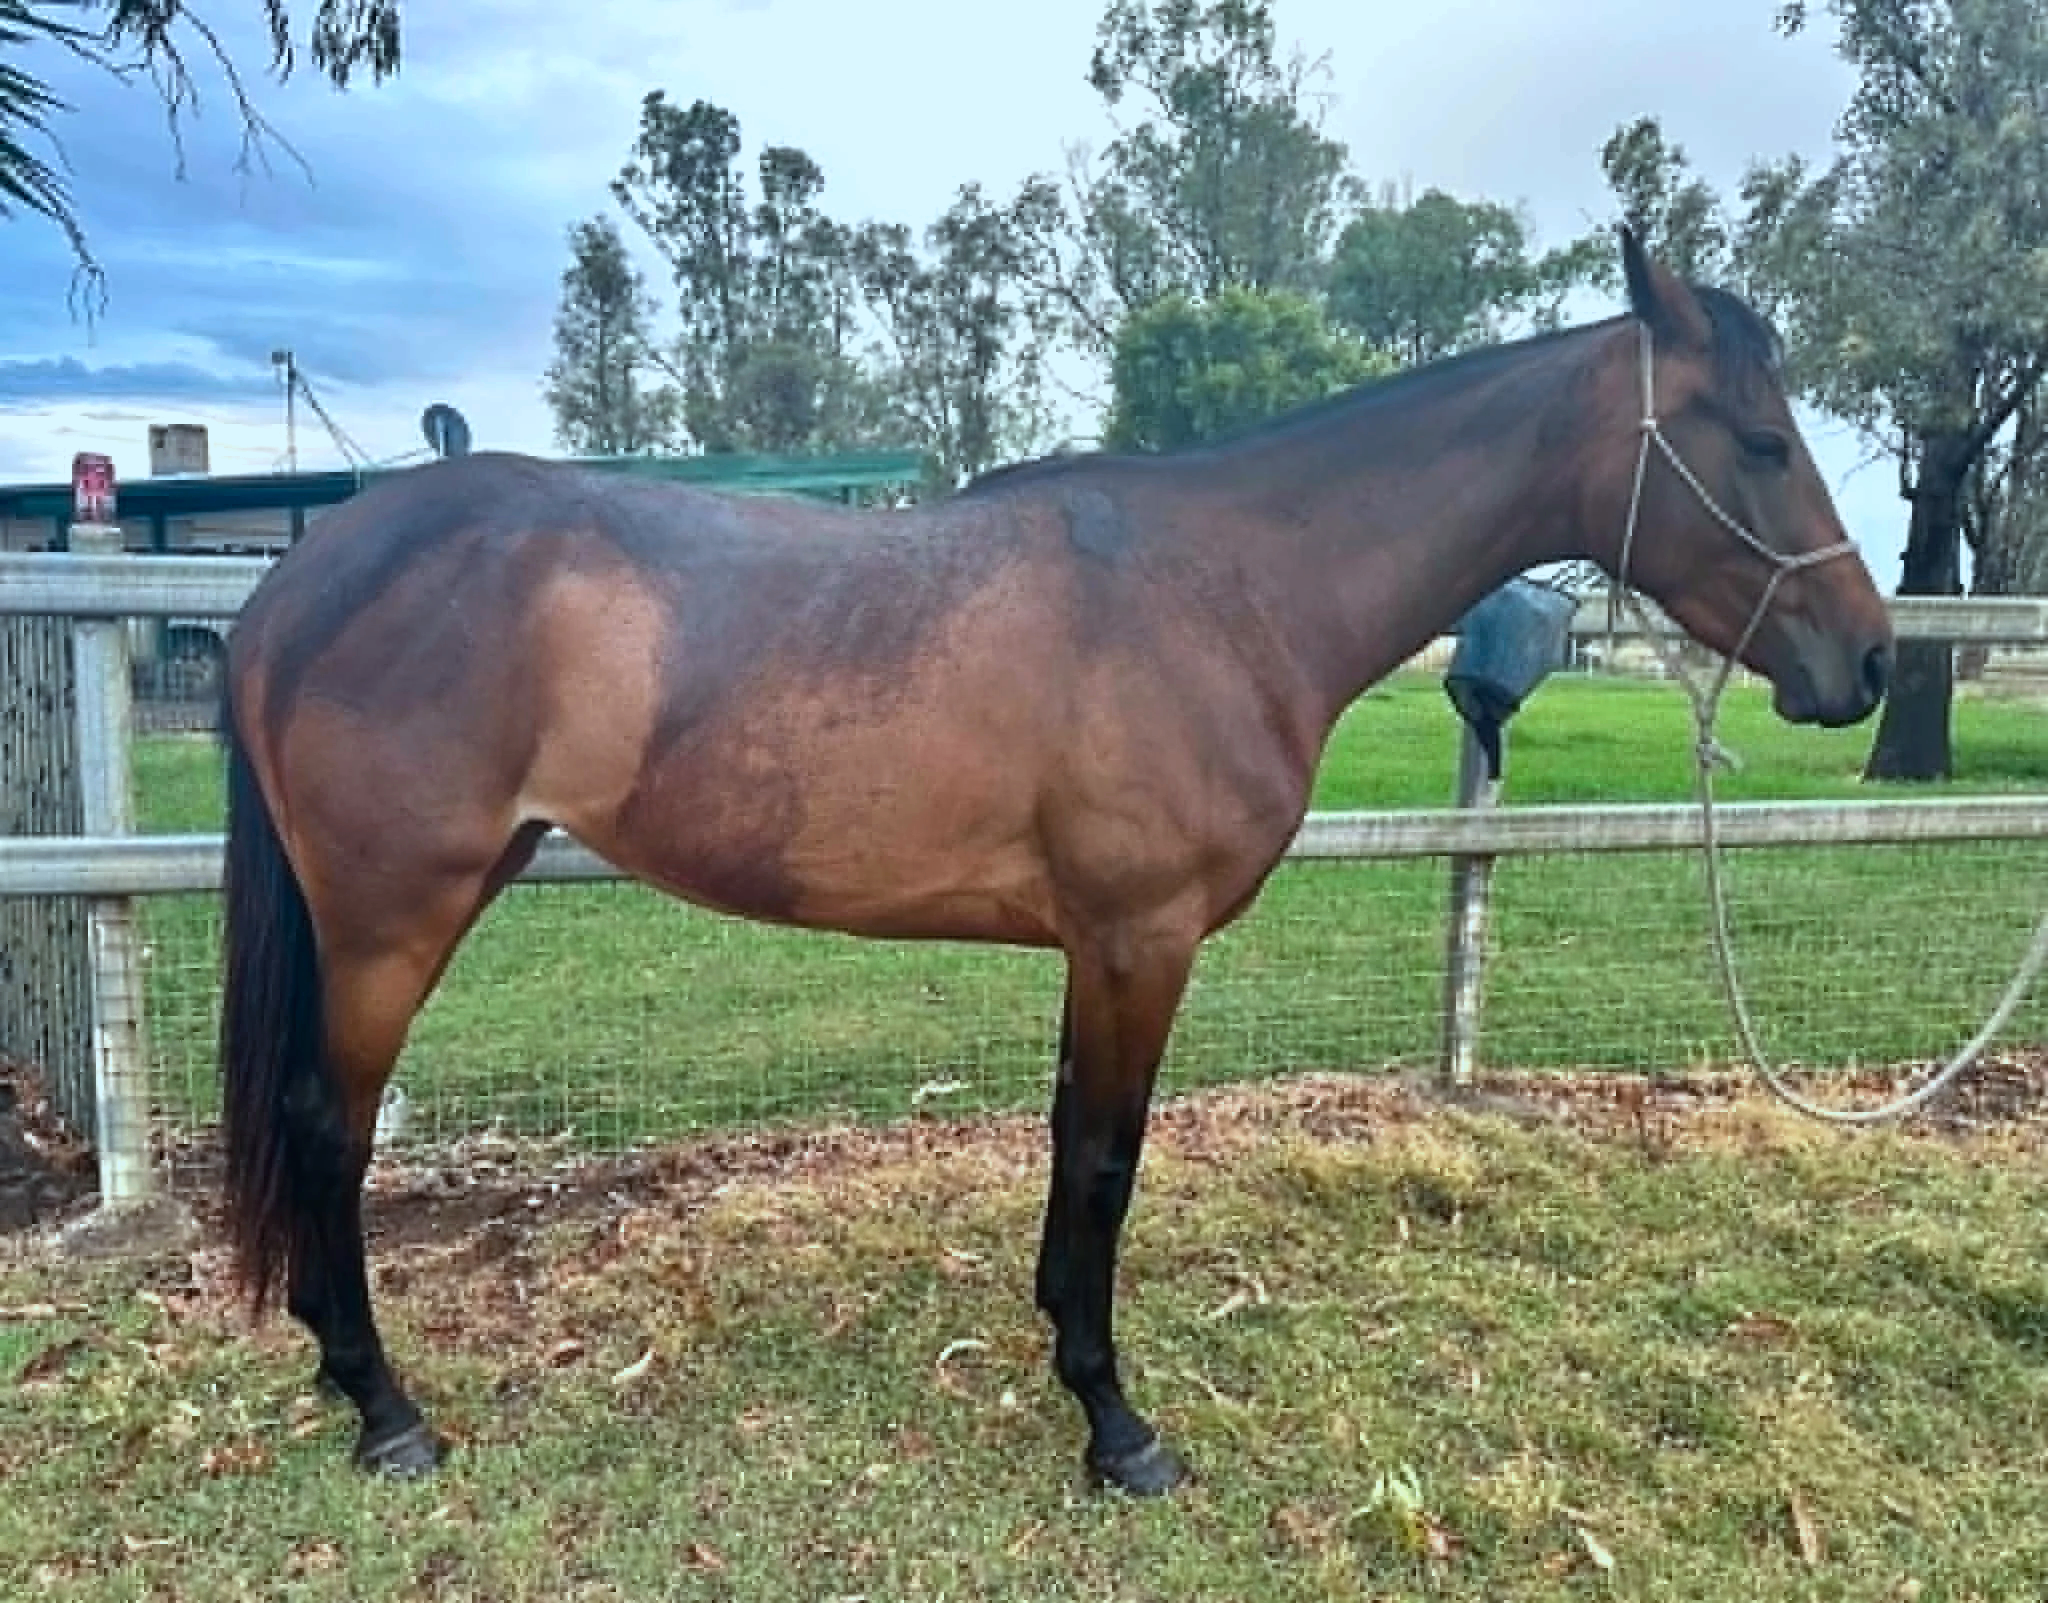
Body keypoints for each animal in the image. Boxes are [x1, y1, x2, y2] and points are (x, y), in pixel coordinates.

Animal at [217, 229, 1892, 1496]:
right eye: (1761, 440)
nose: (1867, 660)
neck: (1233, 587)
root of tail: (302, 576)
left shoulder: (1099, 948)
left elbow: (1068, 1147)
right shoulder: (1141, 938)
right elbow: (1105, 1158)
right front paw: (1115, 1421)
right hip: (393, 920)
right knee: (328, 1127)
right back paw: (385, 1406)